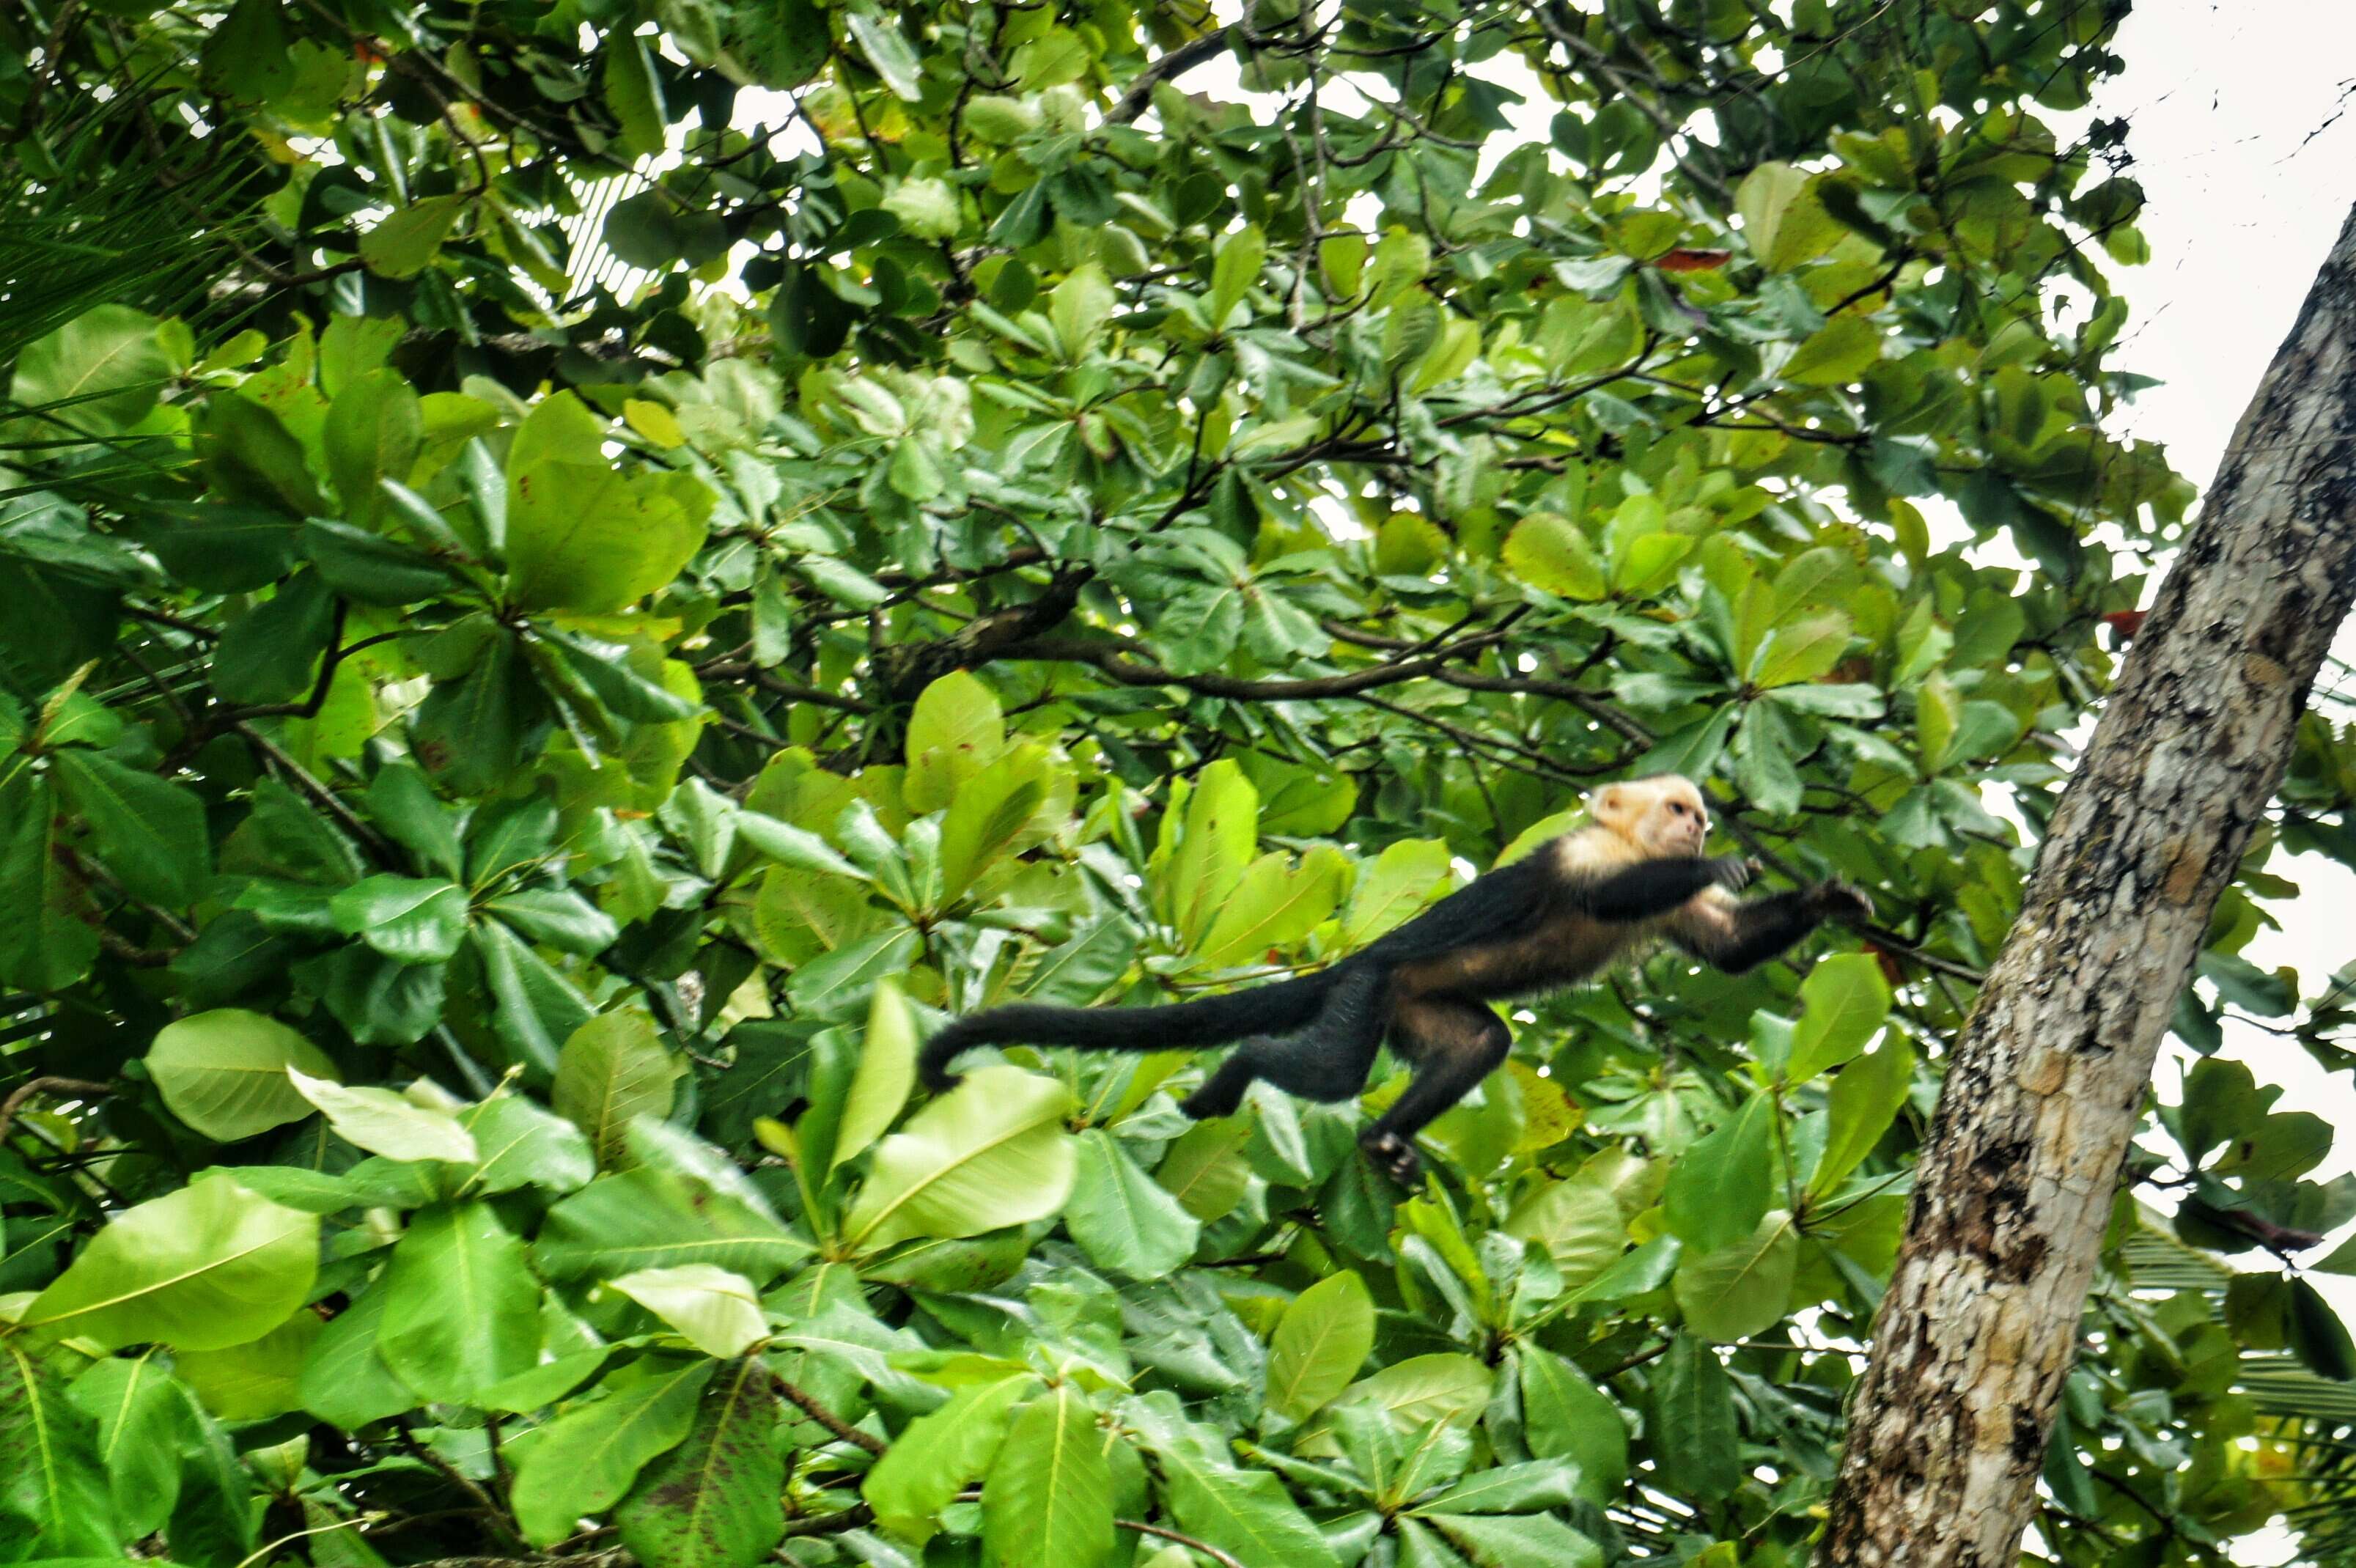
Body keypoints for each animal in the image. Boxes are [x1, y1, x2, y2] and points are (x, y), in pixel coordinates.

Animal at [909, 776, 1866, 1177]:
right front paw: (1726, 865)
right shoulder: (1589, 857)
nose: (1699, 830)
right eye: (1679, 808)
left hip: (1413, 1005)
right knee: (1329, 1069)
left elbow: (1729, 949)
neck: (1632, 844)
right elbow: (1604, 897)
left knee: (1479, 1044)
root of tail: (1357, 961)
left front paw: (1828, 896)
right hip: (1369, 990)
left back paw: (1383, 1138)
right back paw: (1236, 1077)